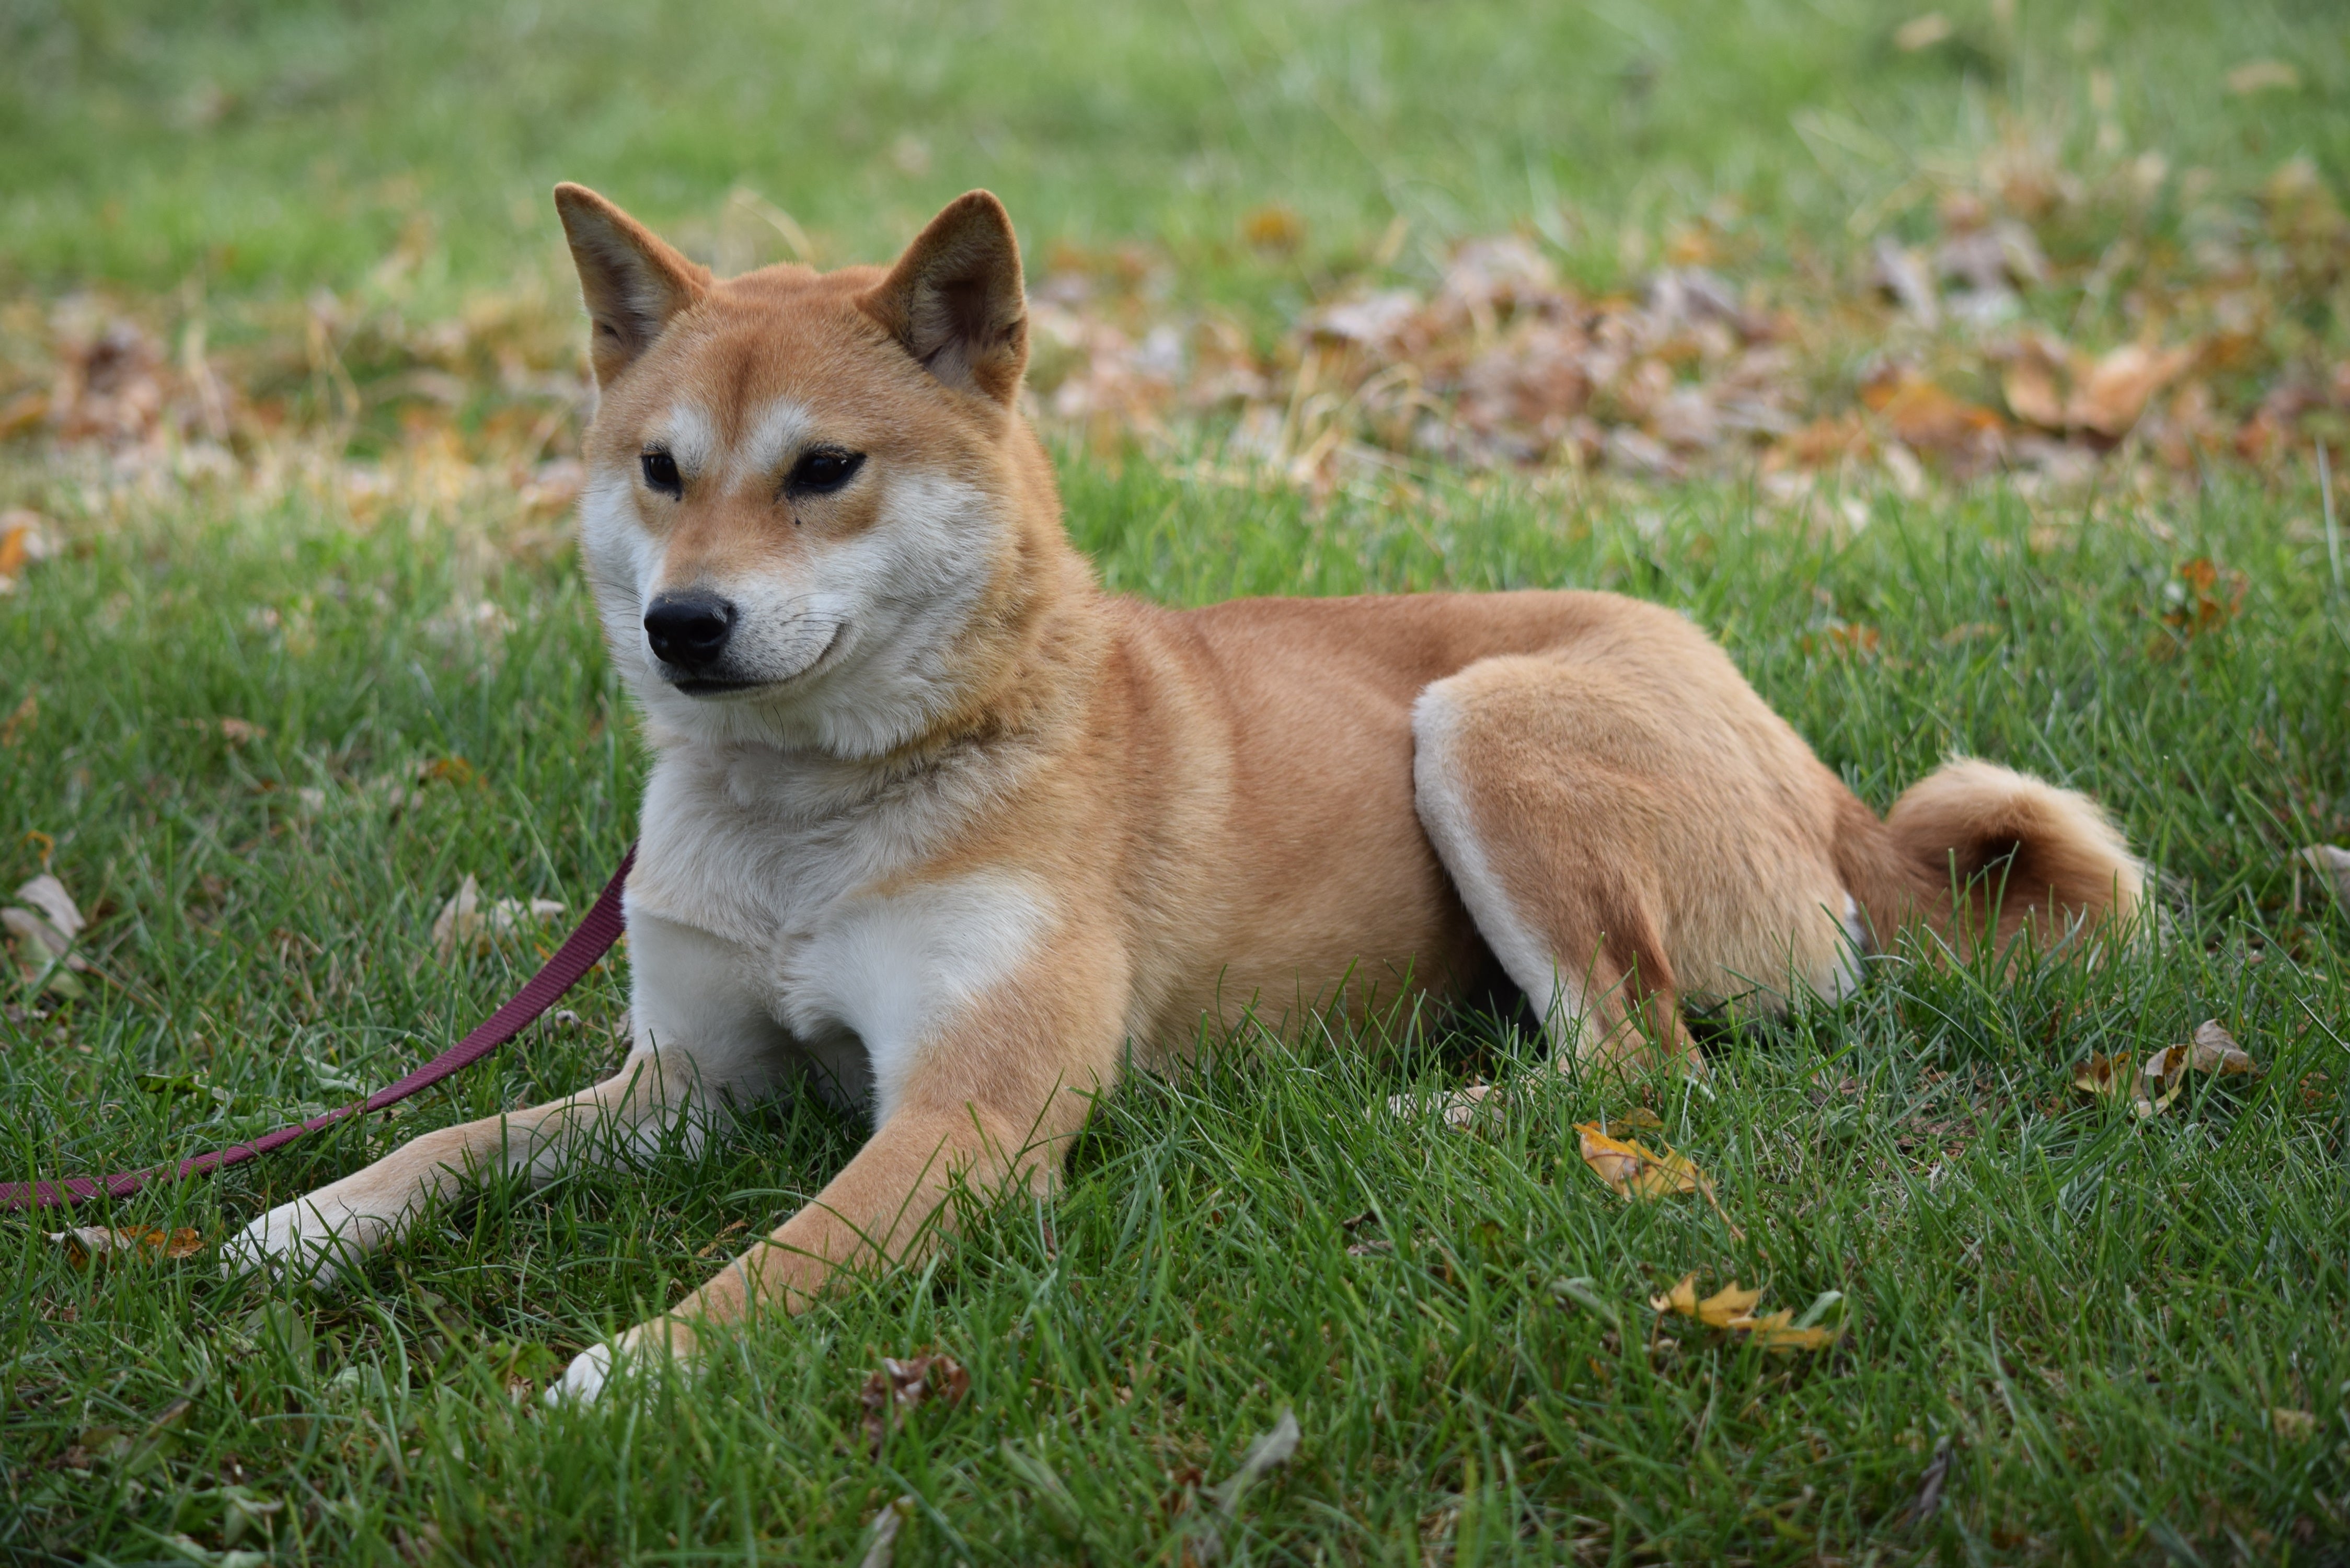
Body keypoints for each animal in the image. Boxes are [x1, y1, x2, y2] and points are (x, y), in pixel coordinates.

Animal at [224, 185, 2152, 1401]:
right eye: (660, 469)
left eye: (824, 472)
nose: (681, 624)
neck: (812, 826)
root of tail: (1819, 782)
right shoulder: (691, 1085)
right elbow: (458, 1136)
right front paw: (307, 1219)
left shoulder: (970, 1118)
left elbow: (774, 1263)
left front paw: (634, 1367)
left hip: (1481, 718)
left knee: (1636, 1063)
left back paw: (1416, 1114)